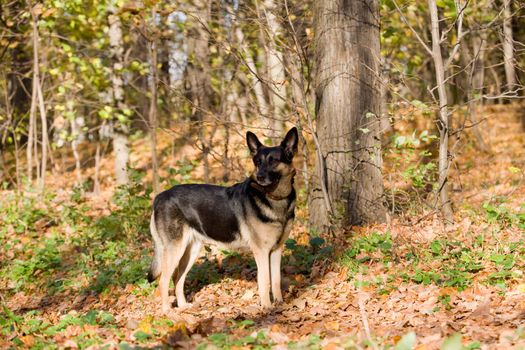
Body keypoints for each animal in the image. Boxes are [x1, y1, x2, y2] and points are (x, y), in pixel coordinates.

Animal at [147, 126, 298, 312]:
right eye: (258, 162)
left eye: (274, 161)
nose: (260, 177)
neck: (275, 198)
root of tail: (159, 197)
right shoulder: (261, 252)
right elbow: (265, 281)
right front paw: (267, 308)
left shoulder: (276, 250)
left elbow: (276, 280)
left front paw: (280, 304)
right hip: (175, 249)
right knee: (163, 280)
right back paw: (168, 311)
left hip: (191, 251)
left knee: (177, 278)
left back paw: (183, 307)